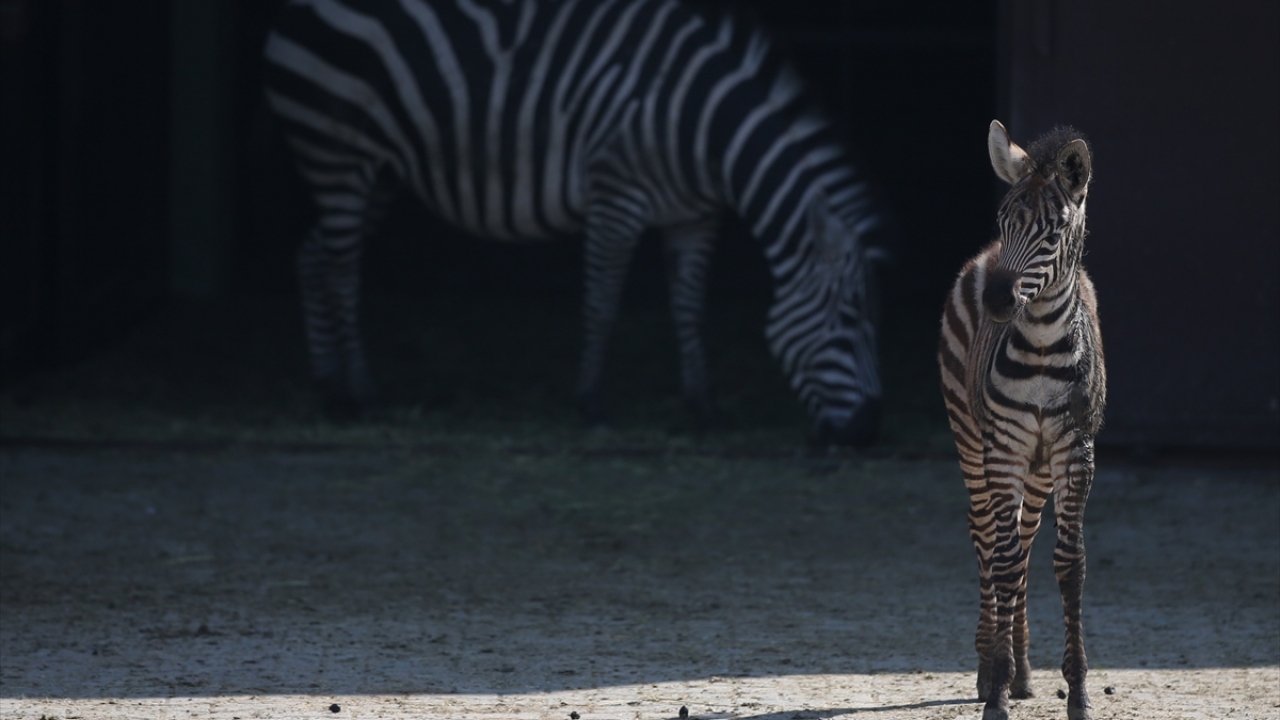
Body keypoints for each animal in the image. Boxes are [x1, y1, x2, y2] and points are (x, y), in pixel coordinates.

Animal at [263, 0, 893, 444]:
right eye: (849, 316)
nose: (867, 432)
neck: (700, 124)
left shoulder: (694, 215)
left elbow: (689, 308)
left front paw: (705, 408)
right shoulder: (617, 196)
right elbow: (602, 303)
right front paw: (591, 405)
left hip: (379, 173)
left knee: (311, 256)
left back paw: (329, 389)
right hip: (339, 154)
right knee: (341, 273)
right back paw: (363, 395)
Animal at [938, 121, 1106, 720]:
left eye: (1052, 232)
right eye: (1004, 220)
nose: (995, 301)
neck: (1040, 347)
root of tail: (984, 259)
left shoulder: (1075, 449)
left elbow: (1070, 564)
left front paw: (1077, 692)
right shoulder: (1004, 448)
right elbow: (1004, 562)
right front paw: (995, 694)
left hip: (1038, 465)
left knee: (1026, 538)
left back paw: (1024, 670)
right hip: (971, 438)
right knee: (988, 537)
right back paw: (991, 667)